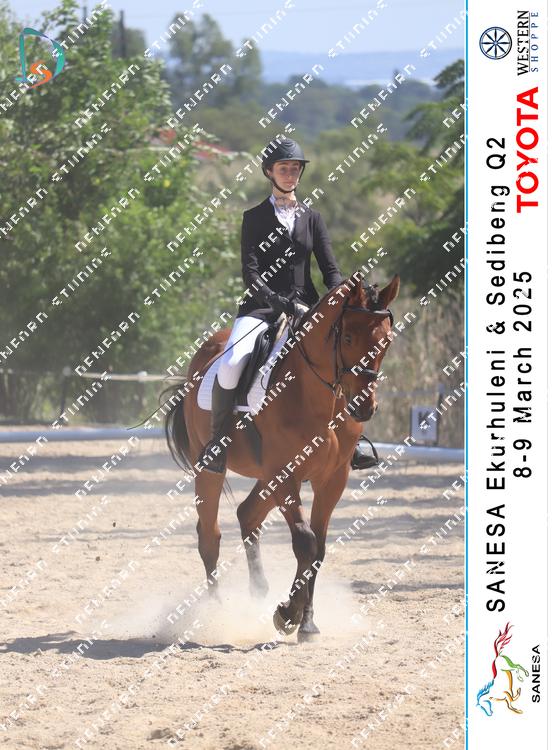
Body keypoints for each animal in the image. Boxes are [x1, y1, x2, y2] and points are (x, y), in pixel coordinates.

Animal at [164, 271, 400, 641]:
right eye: (347, 337)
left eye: (386, 342)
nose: (364, 408)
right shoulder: (285, 474)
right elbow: (305, 542)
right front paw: (288, 614)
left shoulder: (332, 479)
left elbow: (319, 548)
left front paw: (308, 622)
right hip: (213, 471)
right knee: (209, 536)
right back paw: (215, 615)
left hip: (266, 476)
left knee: (247, 515)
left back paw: (258, 591)